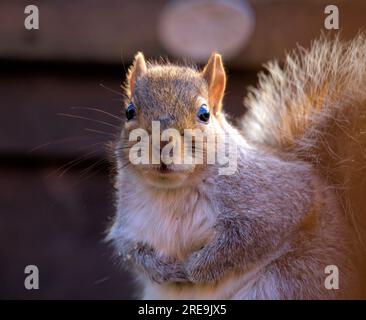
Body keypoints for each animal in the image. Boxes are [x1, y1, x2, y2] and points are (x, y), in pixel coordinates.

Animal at [106, 35, 366, 300]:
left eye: (204, 113)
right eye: (129, 111)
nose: (161, 142)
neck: (172, 191)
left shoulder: (274, 200)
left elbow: (245, 240)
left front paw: (196, 268)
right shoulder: (129, 224)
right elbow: (130, 251)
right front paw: (163, 270)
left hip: (287, 280)